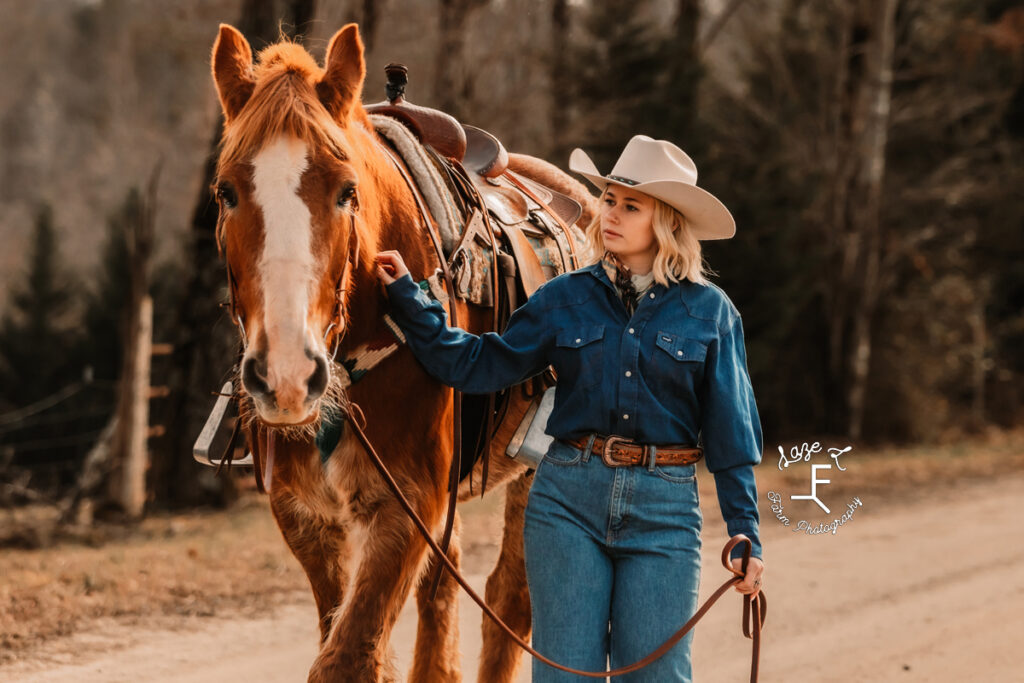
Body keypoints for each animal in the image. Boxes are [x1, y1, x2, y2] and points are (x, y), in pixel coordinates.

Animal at [211, 22, 598, 683]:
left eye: (347, 191)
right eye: (226, 192)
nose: (287, 375)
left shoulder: (406, 503)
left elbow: (349, 657)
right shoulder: (306, 516)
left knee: (511, 598)